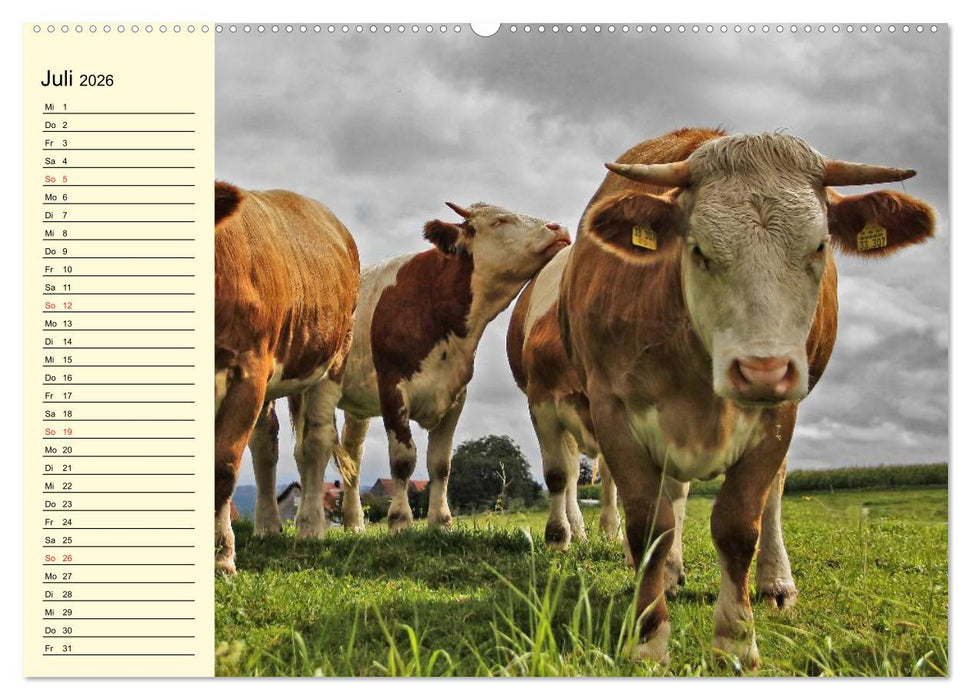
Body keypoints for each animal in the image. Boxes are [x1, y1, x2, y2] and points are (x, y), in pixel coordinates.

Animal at [214, 182, 360, 574]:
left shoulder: (246, 370)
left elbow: (223, 466)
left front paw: (221, 558)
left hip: (332, 359)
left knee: (315, 442)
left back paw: (309, 527)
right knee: (266, 442)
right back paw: (268, 525)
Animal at [247, 202, 570, 535]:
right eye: (499, 221)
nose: (558, 228)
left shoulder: (455, 396)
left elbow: (440, 464)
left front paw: (441, 522)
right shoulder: (392, 388)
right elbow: (403, 461)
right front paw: (400, 520)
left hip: (354, 404)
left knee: (352, 452)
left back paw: (354, 522)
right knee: (279, 444)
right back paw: (276, 524)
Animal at [557, 128, 935, 667]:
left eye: (819, 245)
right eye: (698, 249)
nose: (763, 370)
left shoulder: (779, 416)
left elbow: (738, 527)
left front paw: (735, 640)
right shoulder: (613, 409)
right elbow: (651, 527)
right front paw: (649, 639)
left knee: (772, 495)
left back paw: (776, 583)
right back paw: (669, 577)